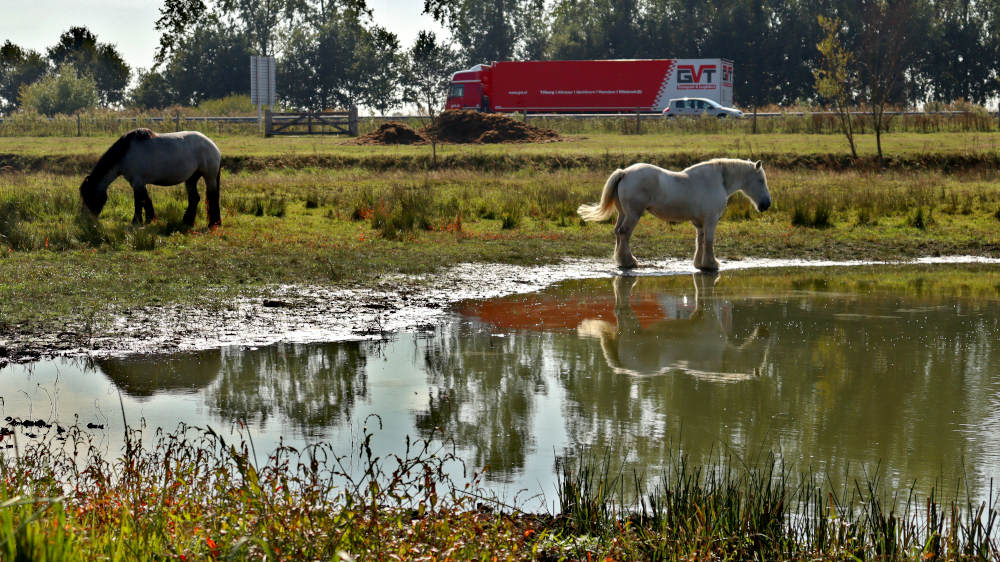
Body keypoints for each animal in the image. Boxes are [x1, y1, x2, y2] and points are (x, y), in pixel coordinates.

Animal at [81, 129, 224, 225]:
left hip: (209, 177)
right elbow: (145, 200)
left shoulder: (138, 183)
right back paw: (187, 221)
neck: (125, 154)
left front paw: (137, 221)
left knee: (213, 197)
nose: (88, 219)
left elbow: (140, 201)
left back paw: (213, 223)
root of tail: (212, 145)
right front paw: (148, 219)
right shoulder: (137, 183)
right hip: (191, 179)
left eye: (89, 196)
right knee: (194, 198)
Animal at [580, 158, 772, 272]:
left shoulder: (700, 223)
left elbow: (700, 241)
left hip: (623, 213)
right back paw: (628, 262)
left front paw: (700, 264)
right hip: (634, 214)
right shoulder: (711, 220)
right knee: (624, 233)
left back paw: (621, 260)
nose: (766, 204)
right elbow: (709, 241)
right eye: (760, 180)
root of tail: (625, 172)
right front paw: (712, 264)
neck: (718, 181)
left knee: (618, 233)